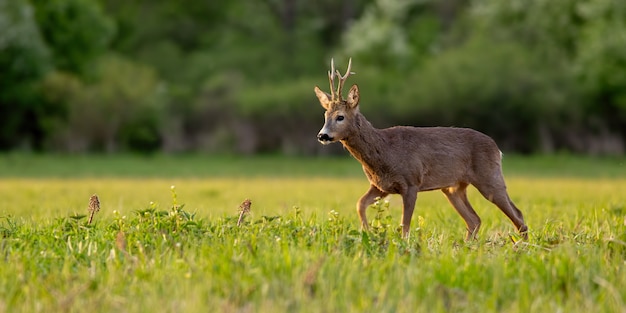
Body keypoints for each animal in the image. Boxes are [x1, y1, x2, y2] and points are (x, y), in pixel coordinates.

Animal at [314, 58, 524, 239]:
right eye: (325, 115)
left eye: (340, 116)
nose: (322, 135)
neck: (385, 151)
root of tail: (497, 148)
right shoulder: (380, 185)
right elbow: (360, 204)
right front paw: (368, 232)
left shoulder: (411, 182)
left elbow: (404, 226)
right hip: (454, 187)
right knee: (475, 220)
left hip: (489, 177)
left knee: (518, 215)